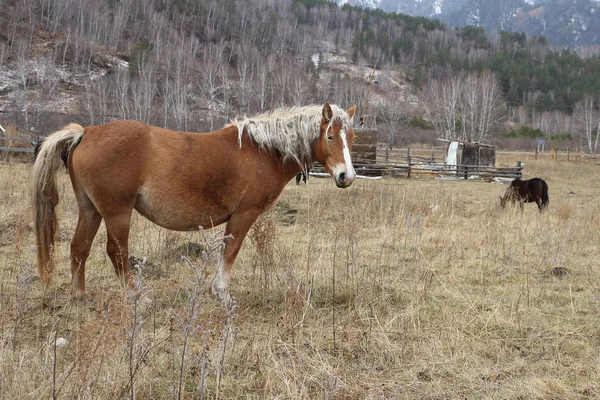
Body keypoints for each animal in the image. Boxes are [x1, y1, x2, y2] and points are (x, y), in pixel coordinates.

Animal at [32, 101, 356, 298]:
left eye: (350, 138)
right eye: (330, 136)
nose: (346, 176)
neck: (263, 151)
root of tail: (85, 133)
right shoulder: (244, 214)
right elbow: (230, 252)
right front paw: (221, 292)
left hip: (91, 210)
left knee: (79, 248)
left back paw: (78, 296)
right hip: (116, 212)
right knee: (117, 252)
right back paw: (136, 296)